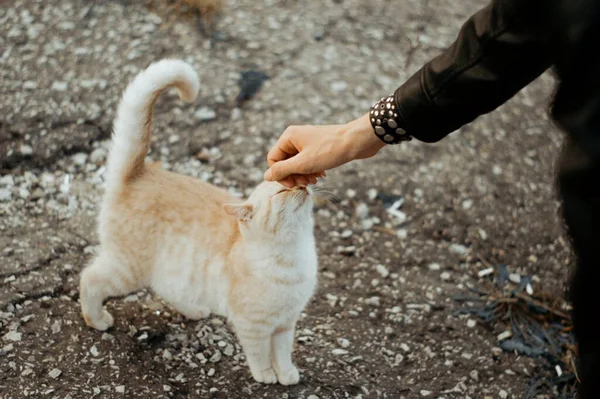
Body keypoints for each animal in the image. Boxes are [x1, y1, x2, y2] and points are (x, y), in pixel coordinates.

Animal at [79, 57, 318, 386]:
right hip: (126, 270)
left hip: (173, 269)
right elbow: (258, 353)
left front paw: (287, 374)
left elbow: (282, 352)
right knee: (88, 279)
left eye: (294, 179)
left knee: (165, 288)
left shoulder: (286, 323)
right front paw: (266, 375)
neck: (293, 255)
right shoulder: (253, 326)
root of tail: (139, 172)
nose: (303, 187)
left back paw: (194, 310)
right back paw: (97, 319)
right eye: (284, 188)